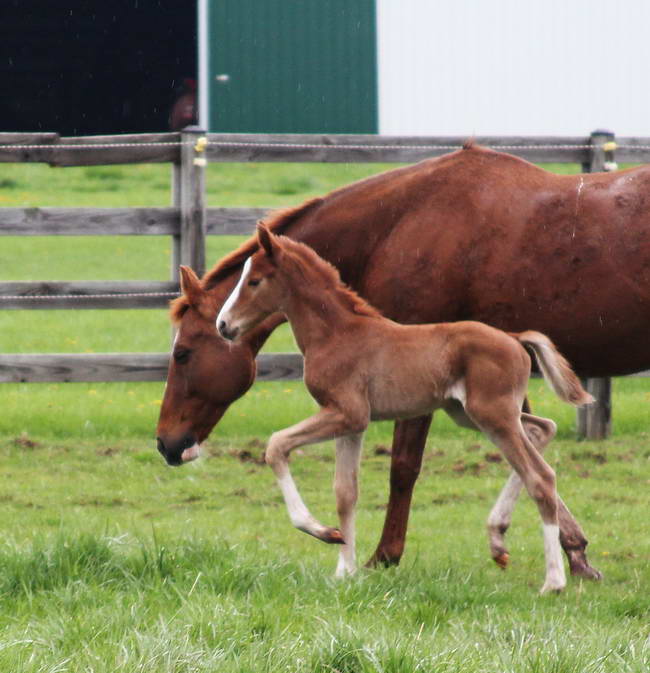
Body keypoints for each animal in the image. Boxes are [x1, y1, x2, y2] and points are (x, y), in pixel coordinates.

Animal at [215, 226, 588, 592]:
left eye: (254, 281)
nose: (223, 325)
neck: (337, 334)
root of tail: (514, 337)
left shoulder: (346, 413)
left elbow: (276, 445)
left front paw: (323, 533)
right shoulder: (352, 424)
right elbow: (345, 493)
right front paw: (344, 570)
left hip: (493, 415)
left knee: (540, 476)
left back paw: (553, 581)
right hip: (470, 413)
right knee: (543, 428)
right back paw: (498, 539)